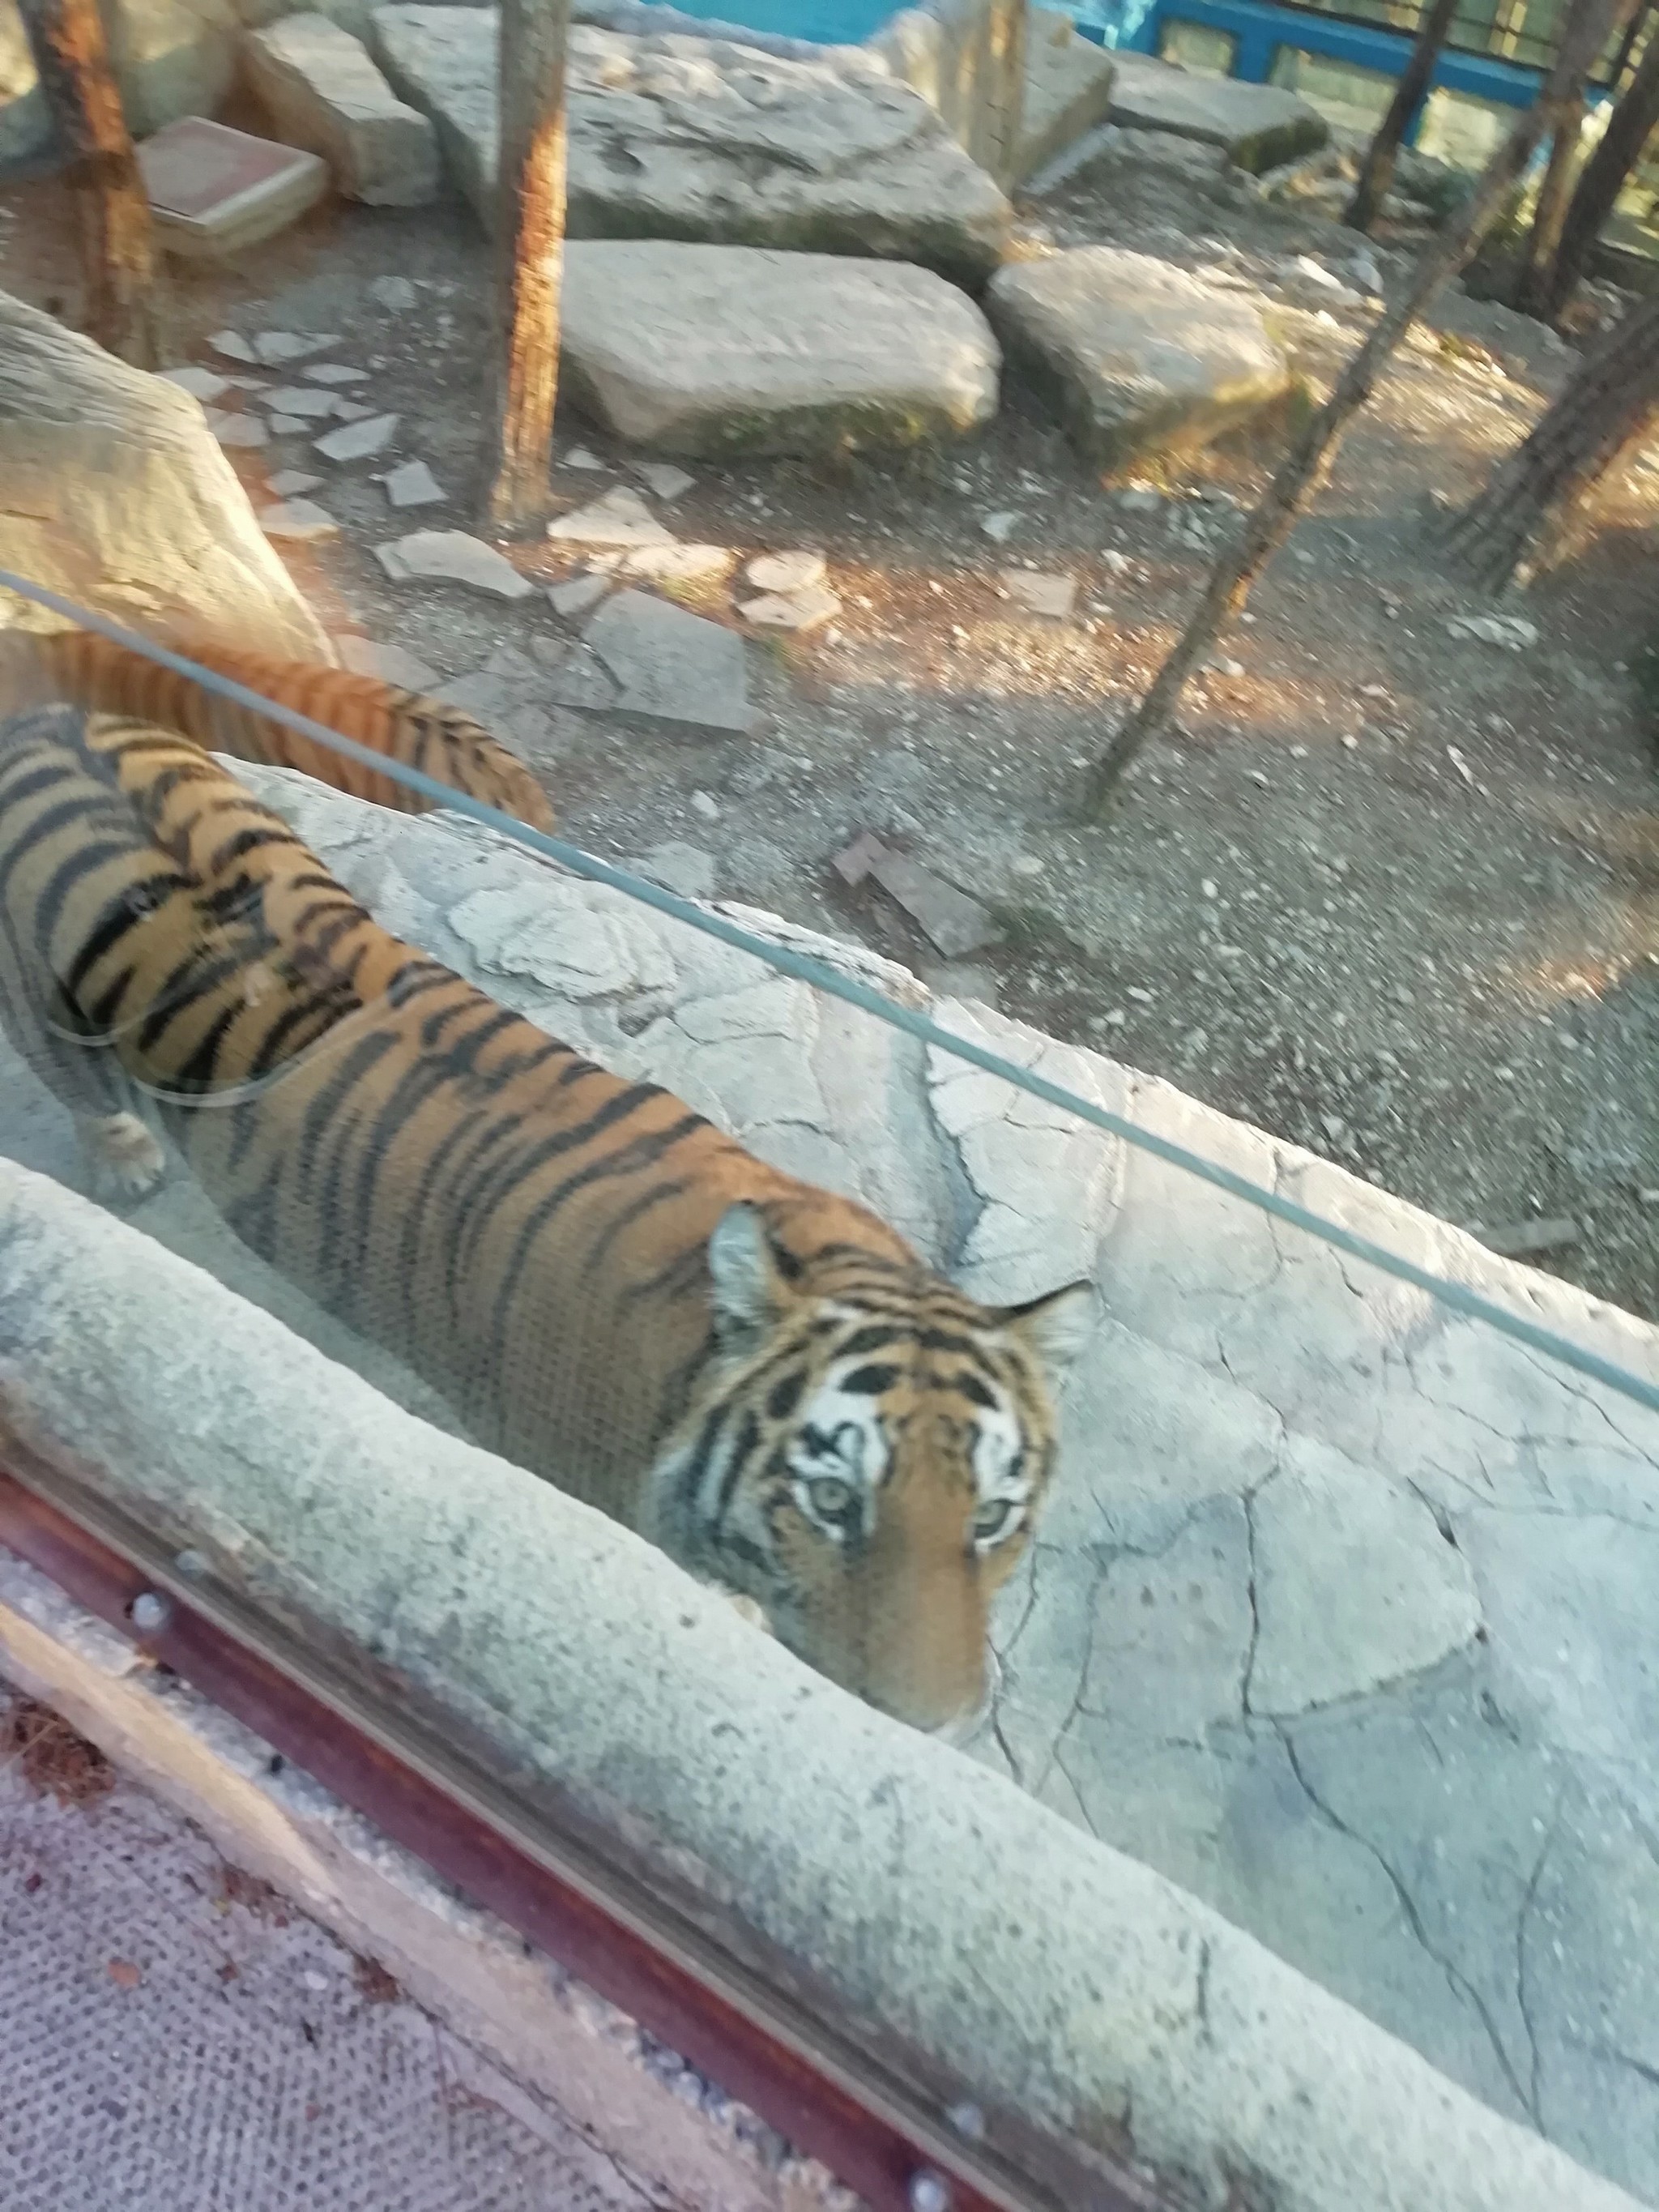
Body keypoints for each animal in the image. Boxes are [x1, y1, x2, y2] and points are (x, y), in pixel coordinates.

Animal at [0, 703, 1097, 1725]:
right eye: (831, 1501)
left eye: (992, 1517)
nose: (931, 1726)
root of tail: (50, 715)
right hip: (50, 1019)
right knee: (80, 1089)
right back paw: (126, 1160)